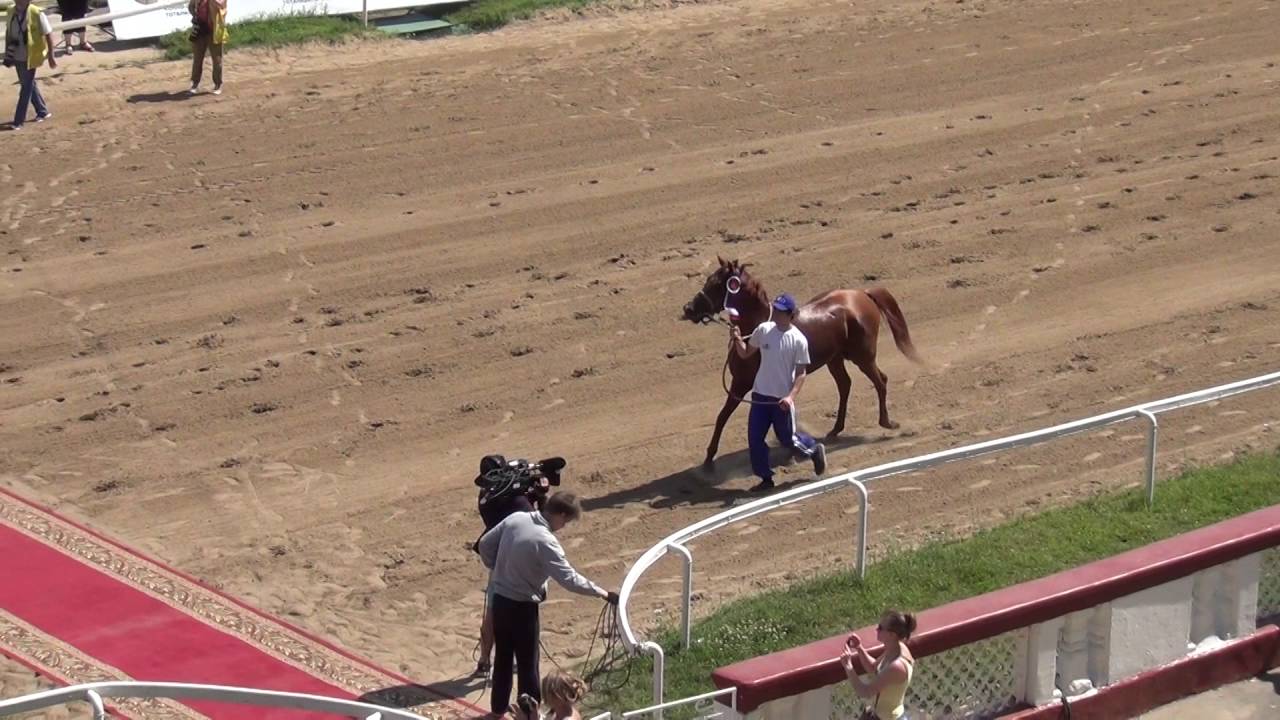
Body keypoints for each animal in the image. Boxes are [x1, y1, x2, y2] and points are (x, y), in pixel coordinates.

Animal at [680, 257, 921, 466]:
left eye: (717, 284)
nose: (688, 309)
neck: (759, 330)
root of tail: (862, 294)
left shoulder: (743, 383)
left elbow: (727, 416)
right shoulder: (742, 384)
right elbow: (724, 417)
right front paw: (709, 458)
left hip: (862, 356)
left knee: (880, 381)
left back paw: (887, 423)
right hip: (835, 359)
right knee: (845, 385)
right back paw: (835, 430)